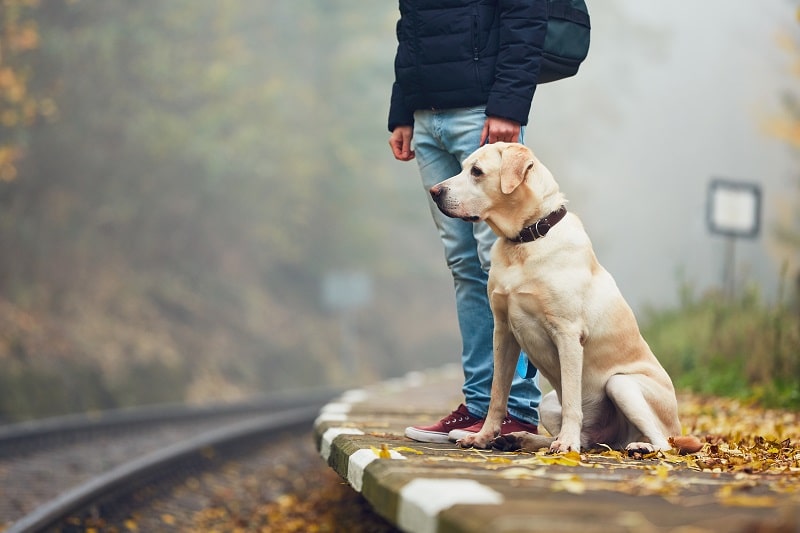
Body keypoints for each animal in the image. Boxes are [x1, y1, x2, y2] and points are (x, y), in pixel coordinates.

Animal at [428, 142, 696, 454]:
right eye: (462, 168)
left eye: (477, 171)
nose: (434, 191)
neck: (527, 238)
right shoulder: (503, 332)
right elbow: (497, 395)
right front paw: (482, 437)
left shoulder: (567, 334)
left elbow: (571, 400)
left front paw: (566, 444)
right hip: (548, 402)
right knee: (587, 439)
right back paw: (519, 438)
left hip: (621, 385)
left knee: (664, 443)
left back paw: (639, 447)